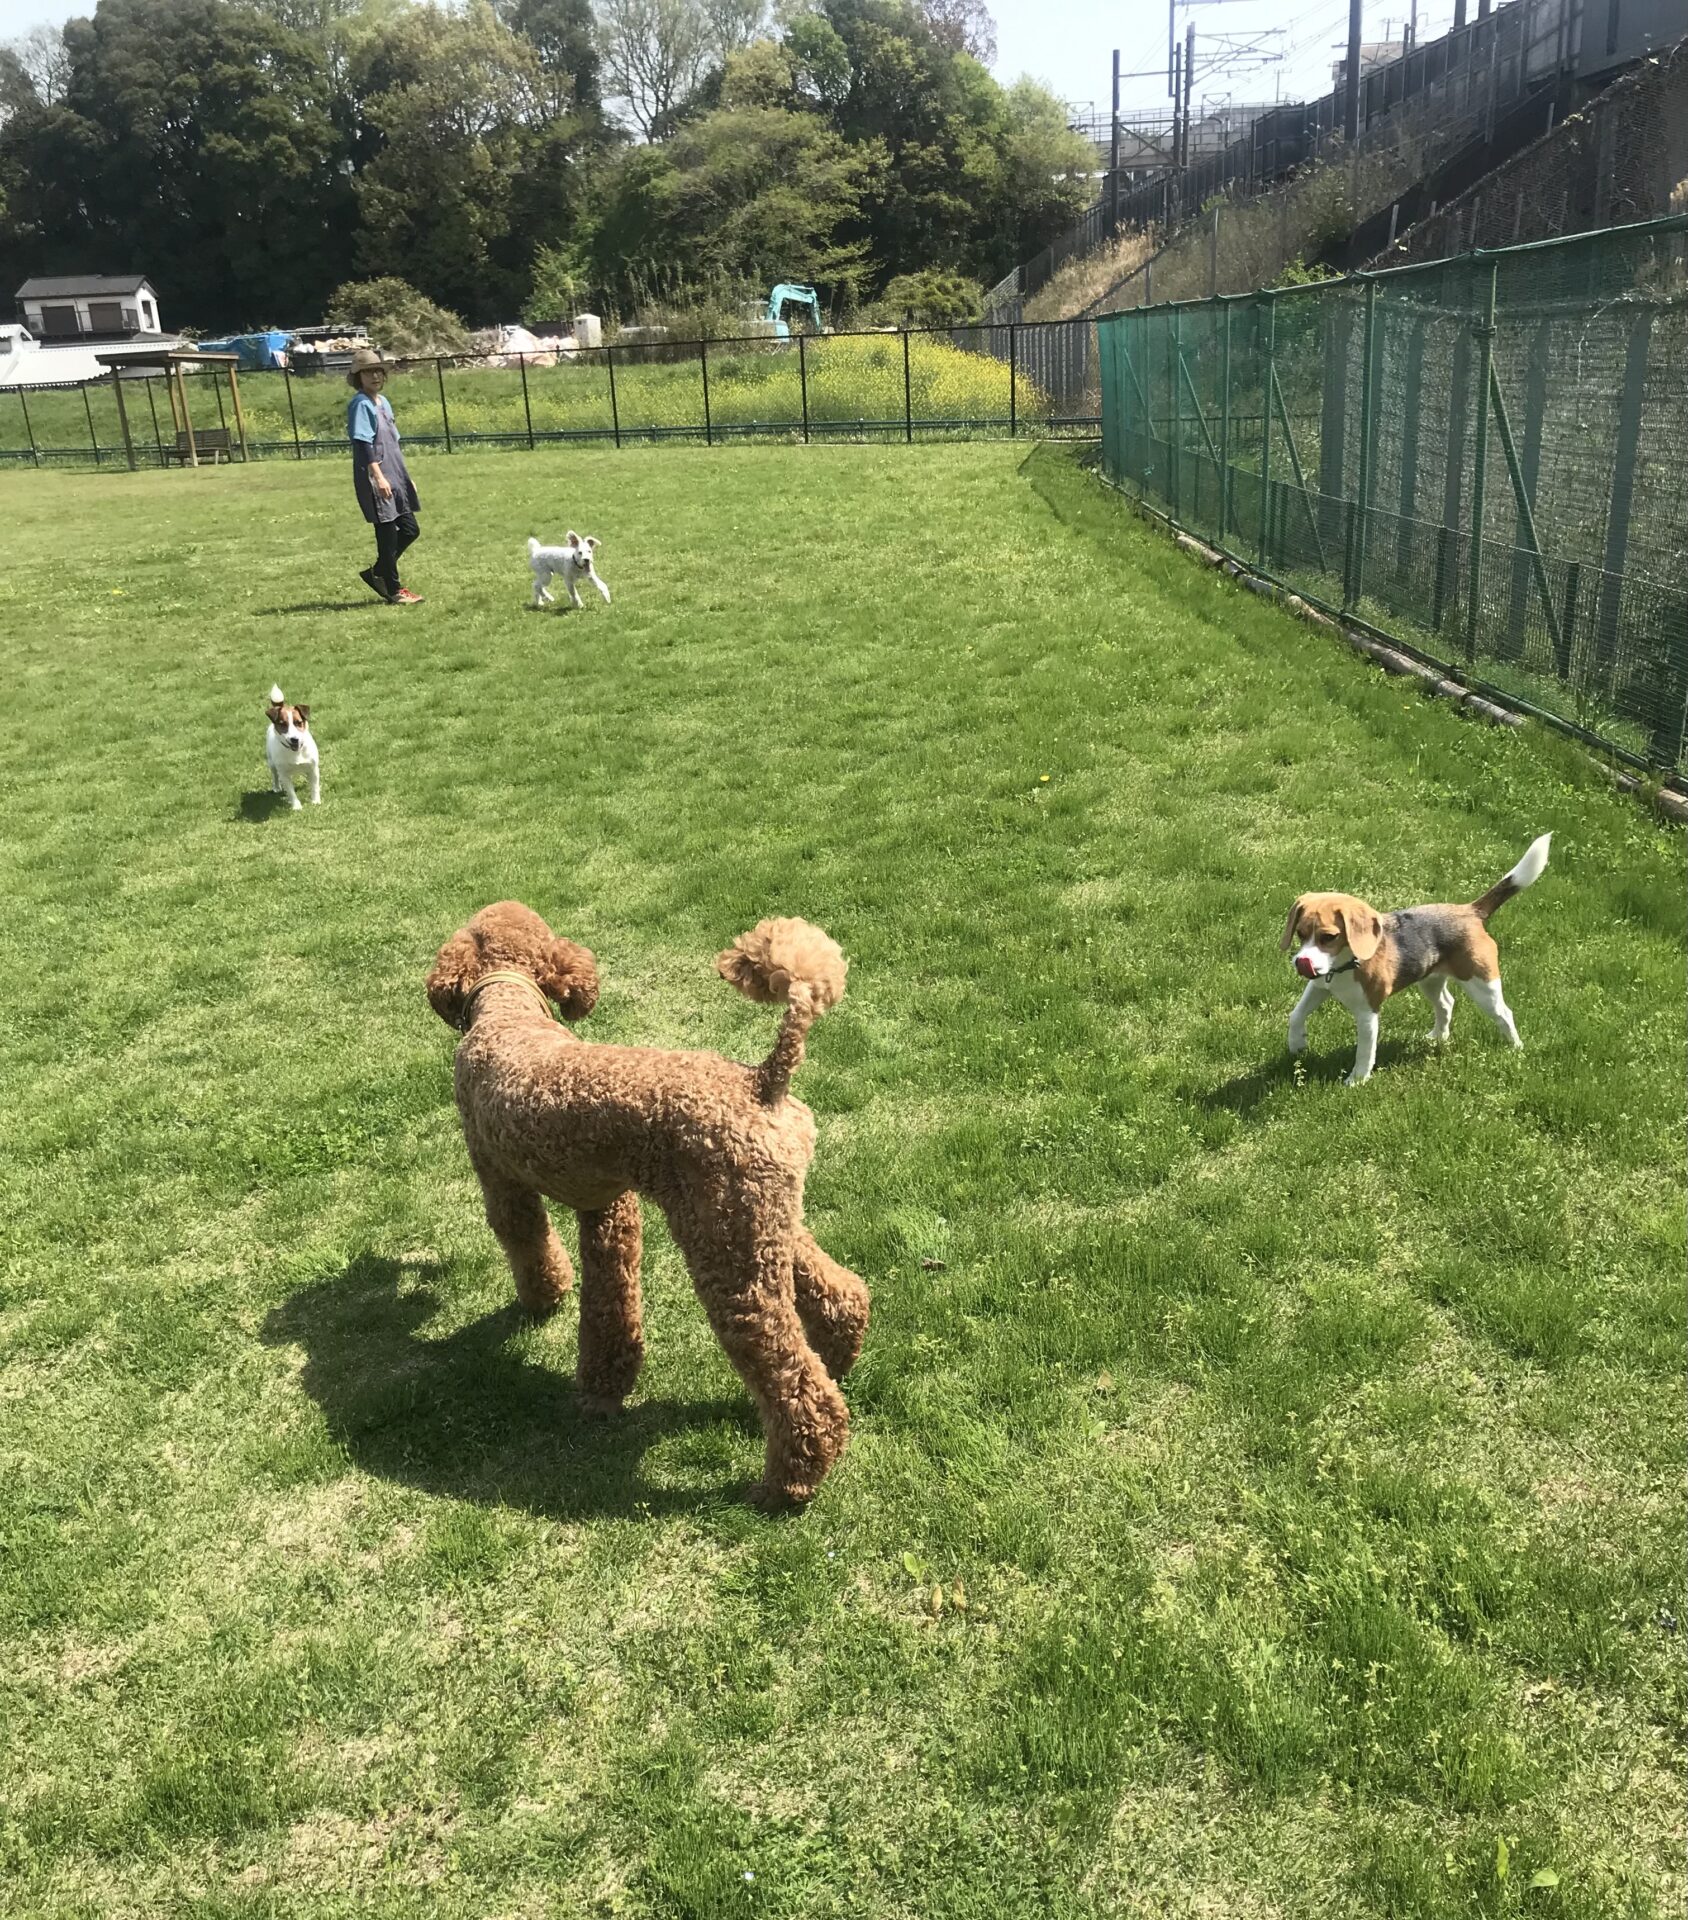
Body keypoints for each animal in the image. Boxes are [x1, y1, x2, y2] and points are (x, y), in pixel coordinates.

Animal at [427, 904, 869, 1508]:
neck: (508, 1011)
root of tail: (764, 1079)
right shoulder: (611, 1207)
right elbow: (611, 1304)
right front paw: (603, 1389)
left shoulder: (501, 1180)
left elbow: (527, 1242)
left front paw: (545, 1300)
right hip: (757, 1223)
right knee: (841, 1293)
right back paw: (840, 1358)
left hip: (728, 1256)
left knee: (796, 1386)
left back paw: (785, 1484)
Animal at [1283, 834, 1550, 1085]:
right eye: (1300, 934)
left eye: (1329, 937)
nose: (1301, 961)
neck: (1343, 965)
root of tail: (1470, 911)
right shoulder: (1319, 986)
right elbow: (1296, 1014)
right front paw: (1297, 1044)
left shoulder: (1368, 1012)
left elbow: (1365, 1051)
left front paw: (1356, 1080)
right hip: (1430, 980)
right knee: (1446, 1003)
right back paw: (1438, 1037)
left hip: (1482, 985)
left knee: (1504, 1013)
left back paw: (1515, 1047)